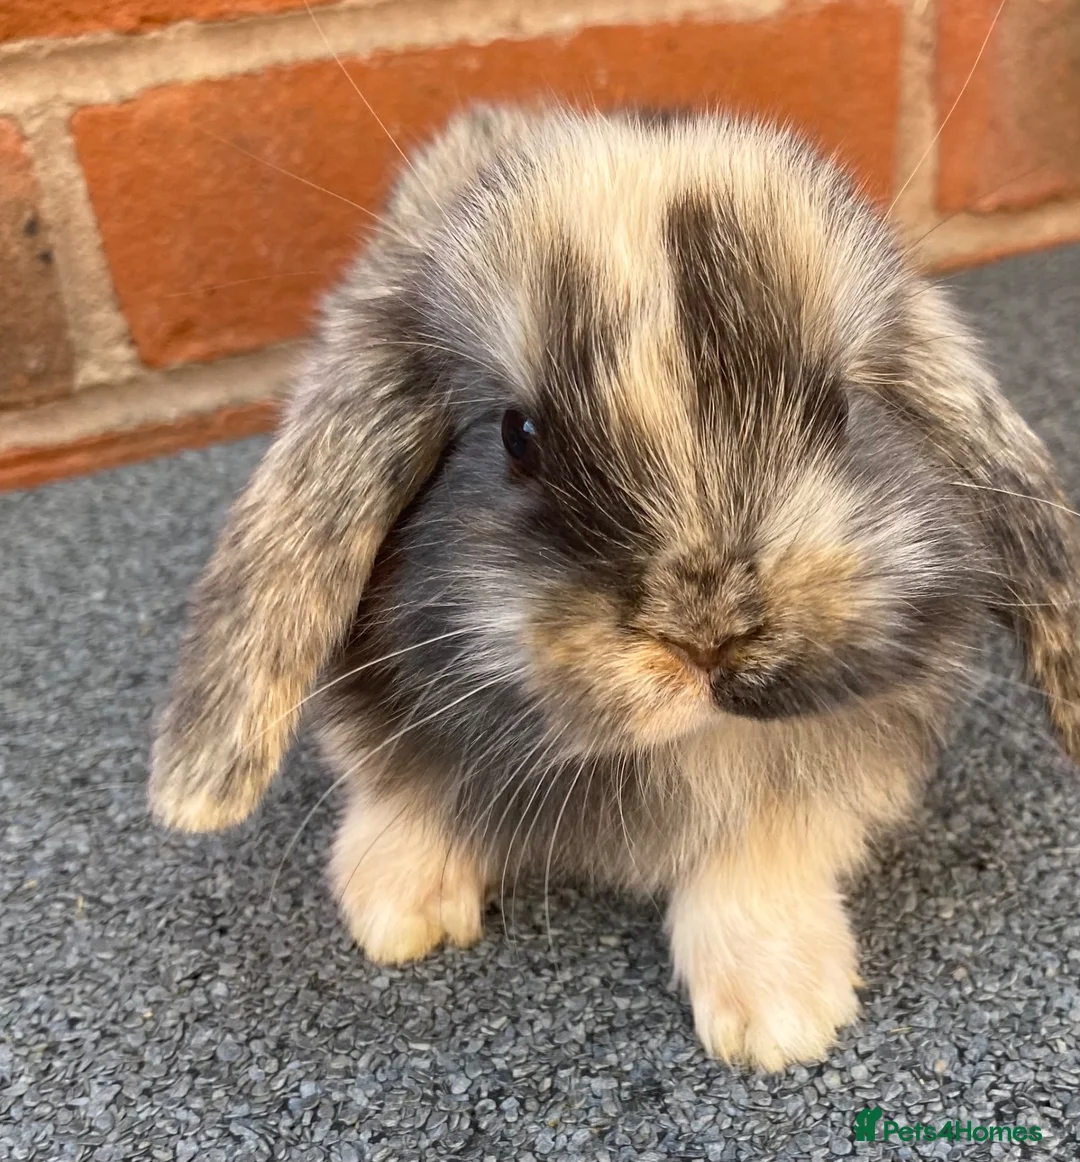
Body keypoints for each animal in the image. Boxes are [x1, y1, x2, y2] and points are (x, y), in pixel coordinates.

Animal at [148, 104, 1080, 1071]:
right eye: (518, 436)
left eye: (837, 408)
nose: (705, 635)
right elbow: (396, 789)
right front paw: (400, 913)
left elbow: (761, 849)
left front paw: (780, 1018)